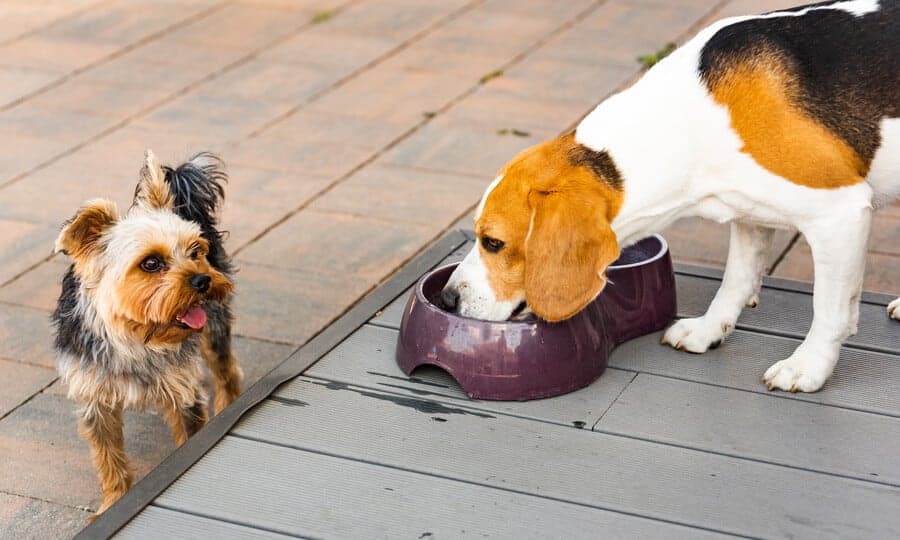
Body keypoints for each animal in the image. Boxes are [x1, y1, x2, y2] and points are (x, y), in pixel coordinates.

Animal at [51, 150, 243, 516]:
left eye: (194, 251)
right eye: (150, 263)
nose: (202, 280)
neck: (134, 335)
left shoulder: (183, 390)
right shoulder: (95, 401)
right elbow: (108, 458)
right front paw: (113, 501)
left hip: (214, 324)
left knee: (226, 368)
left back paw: (229, 403)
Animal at [444, 2, 900, 394]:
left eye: (493, 243)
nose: (448, 298)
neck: (690, 119)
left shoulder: (840, 214)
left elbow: (829, 308)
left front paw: (808, 367)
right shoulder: (750, 215)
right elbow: (735, 280)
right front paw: (708, 330)